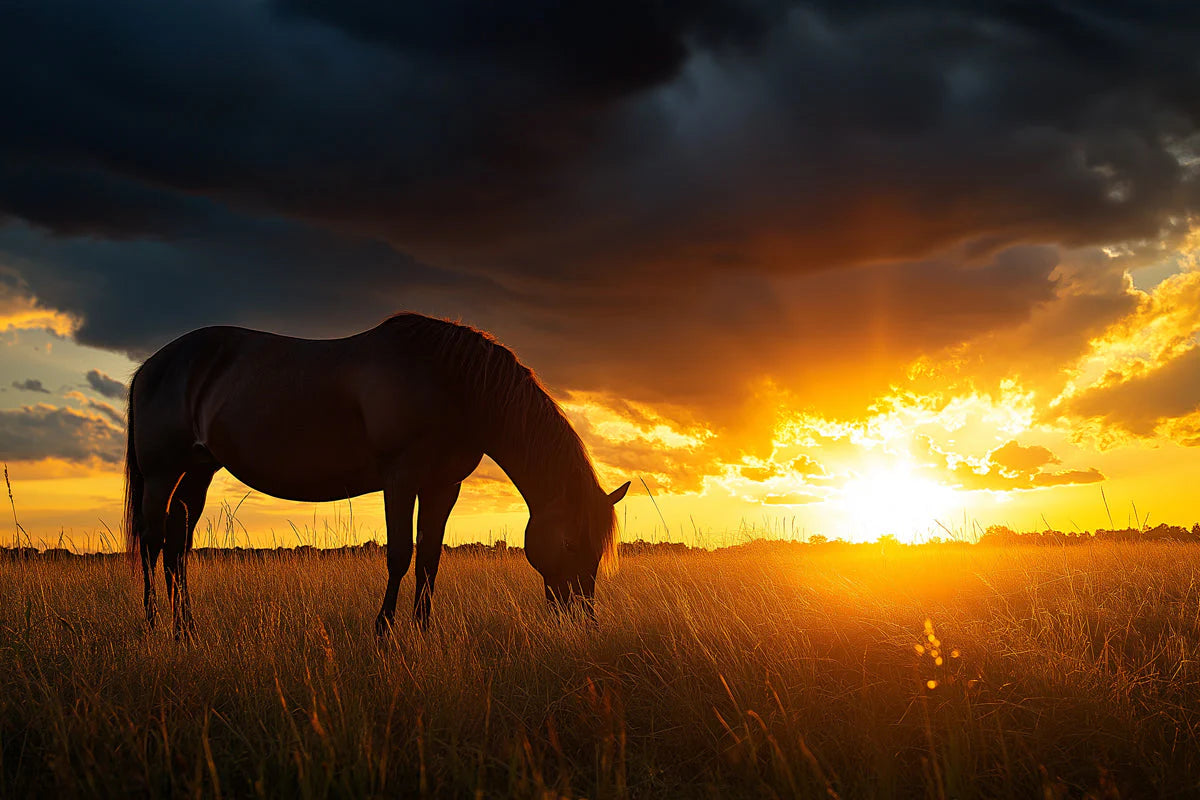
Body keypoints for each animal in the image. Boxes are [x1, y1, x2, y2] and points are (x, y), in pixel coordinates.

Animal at [123, 313, 630, 638]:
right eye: (569, 543)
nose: (581, 620)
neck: (451, 383)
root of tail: (151, 366)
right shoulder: (400, 480)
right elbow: (400, 556)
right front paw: (383, 632)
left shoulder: (443, 486)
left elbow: (429, 559)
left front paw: (423, 633)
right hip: (162, 472)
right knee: (152, 542)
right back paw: (153, 625)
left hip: (198, 470)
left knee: (178, 545)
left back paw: (186, 630)